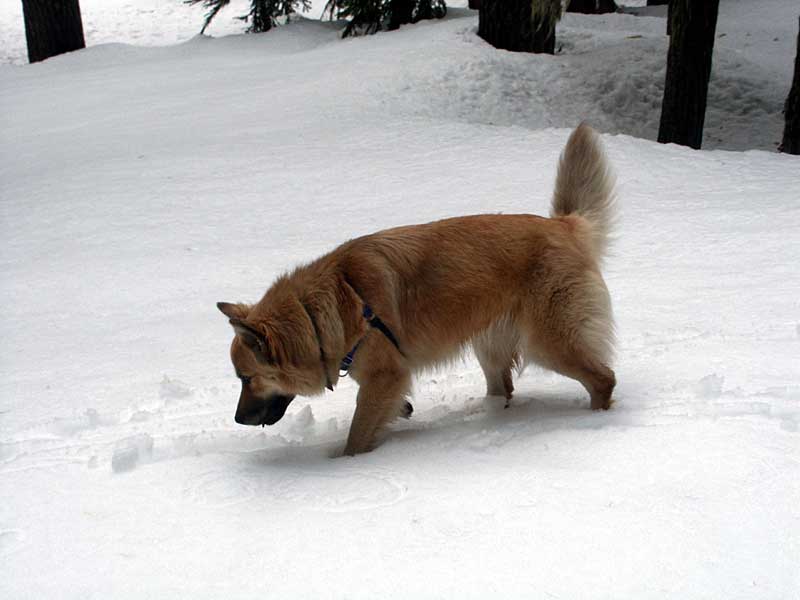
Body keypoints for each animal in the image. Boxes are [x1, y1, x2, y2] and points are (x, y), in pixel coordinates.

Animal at [216, 124, 616, 458]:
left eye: (247, 378)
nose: (236, 419)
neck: (322, 311)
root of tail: (564, 225)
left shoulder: (383, 379)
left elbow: (356, 439)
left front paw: (346, 468)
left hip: (549, 343)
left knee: (604, 379)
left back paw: (598, 424)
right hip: (490, 346)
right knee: (504, 388)